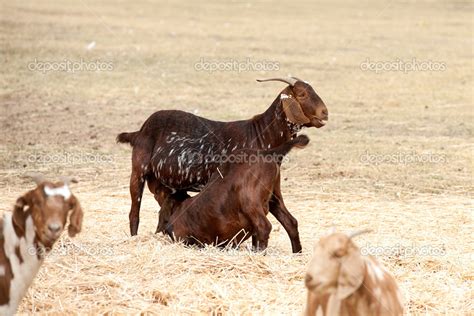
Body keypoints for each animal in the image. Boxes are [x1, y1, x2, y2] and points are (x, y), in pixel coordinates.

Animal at [157, 135, 310, 251]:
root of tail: (266, 153)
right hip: (274, 198)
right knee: (290, 223)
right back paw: (297, 253)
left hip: (249, 200)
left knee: (263, 227)